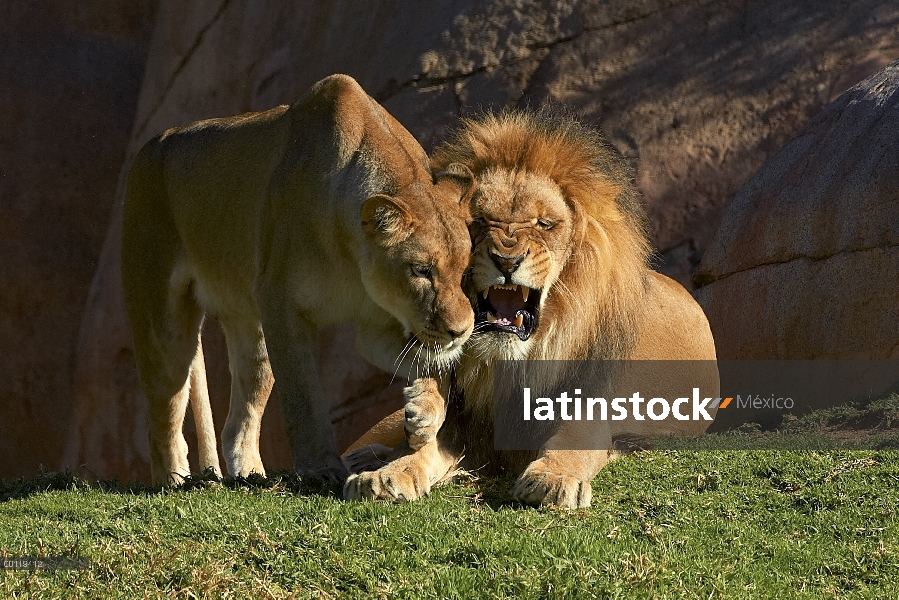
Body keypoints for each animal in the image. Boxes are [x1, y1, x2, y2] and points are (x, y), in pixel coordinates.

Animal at [126, 76, 478, 488]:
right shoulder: (282, 304)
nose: (461, 331)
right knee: (163, 421)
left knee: (237, 423)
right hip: (164, 326)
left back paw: (249, 475)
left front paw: (424, 413)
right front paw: (320, 467)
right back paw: (174, 482)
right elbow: (304, 398)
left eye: (464, 270)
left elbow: (432, 364)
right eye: (421, 270)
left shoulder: (376, 324)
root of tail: (148, 148)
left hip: (252, 330)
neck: (353, 254)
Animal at [348, 108, 720, 506]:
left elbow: (574, 441)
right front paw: (386, 475)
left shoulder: (590, 405)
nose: (506, 260)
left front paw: (553, 479)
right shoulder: (464, 423)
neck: (509, 363)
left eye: (543, 223)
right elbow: (419, 450)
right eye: (479, 221)